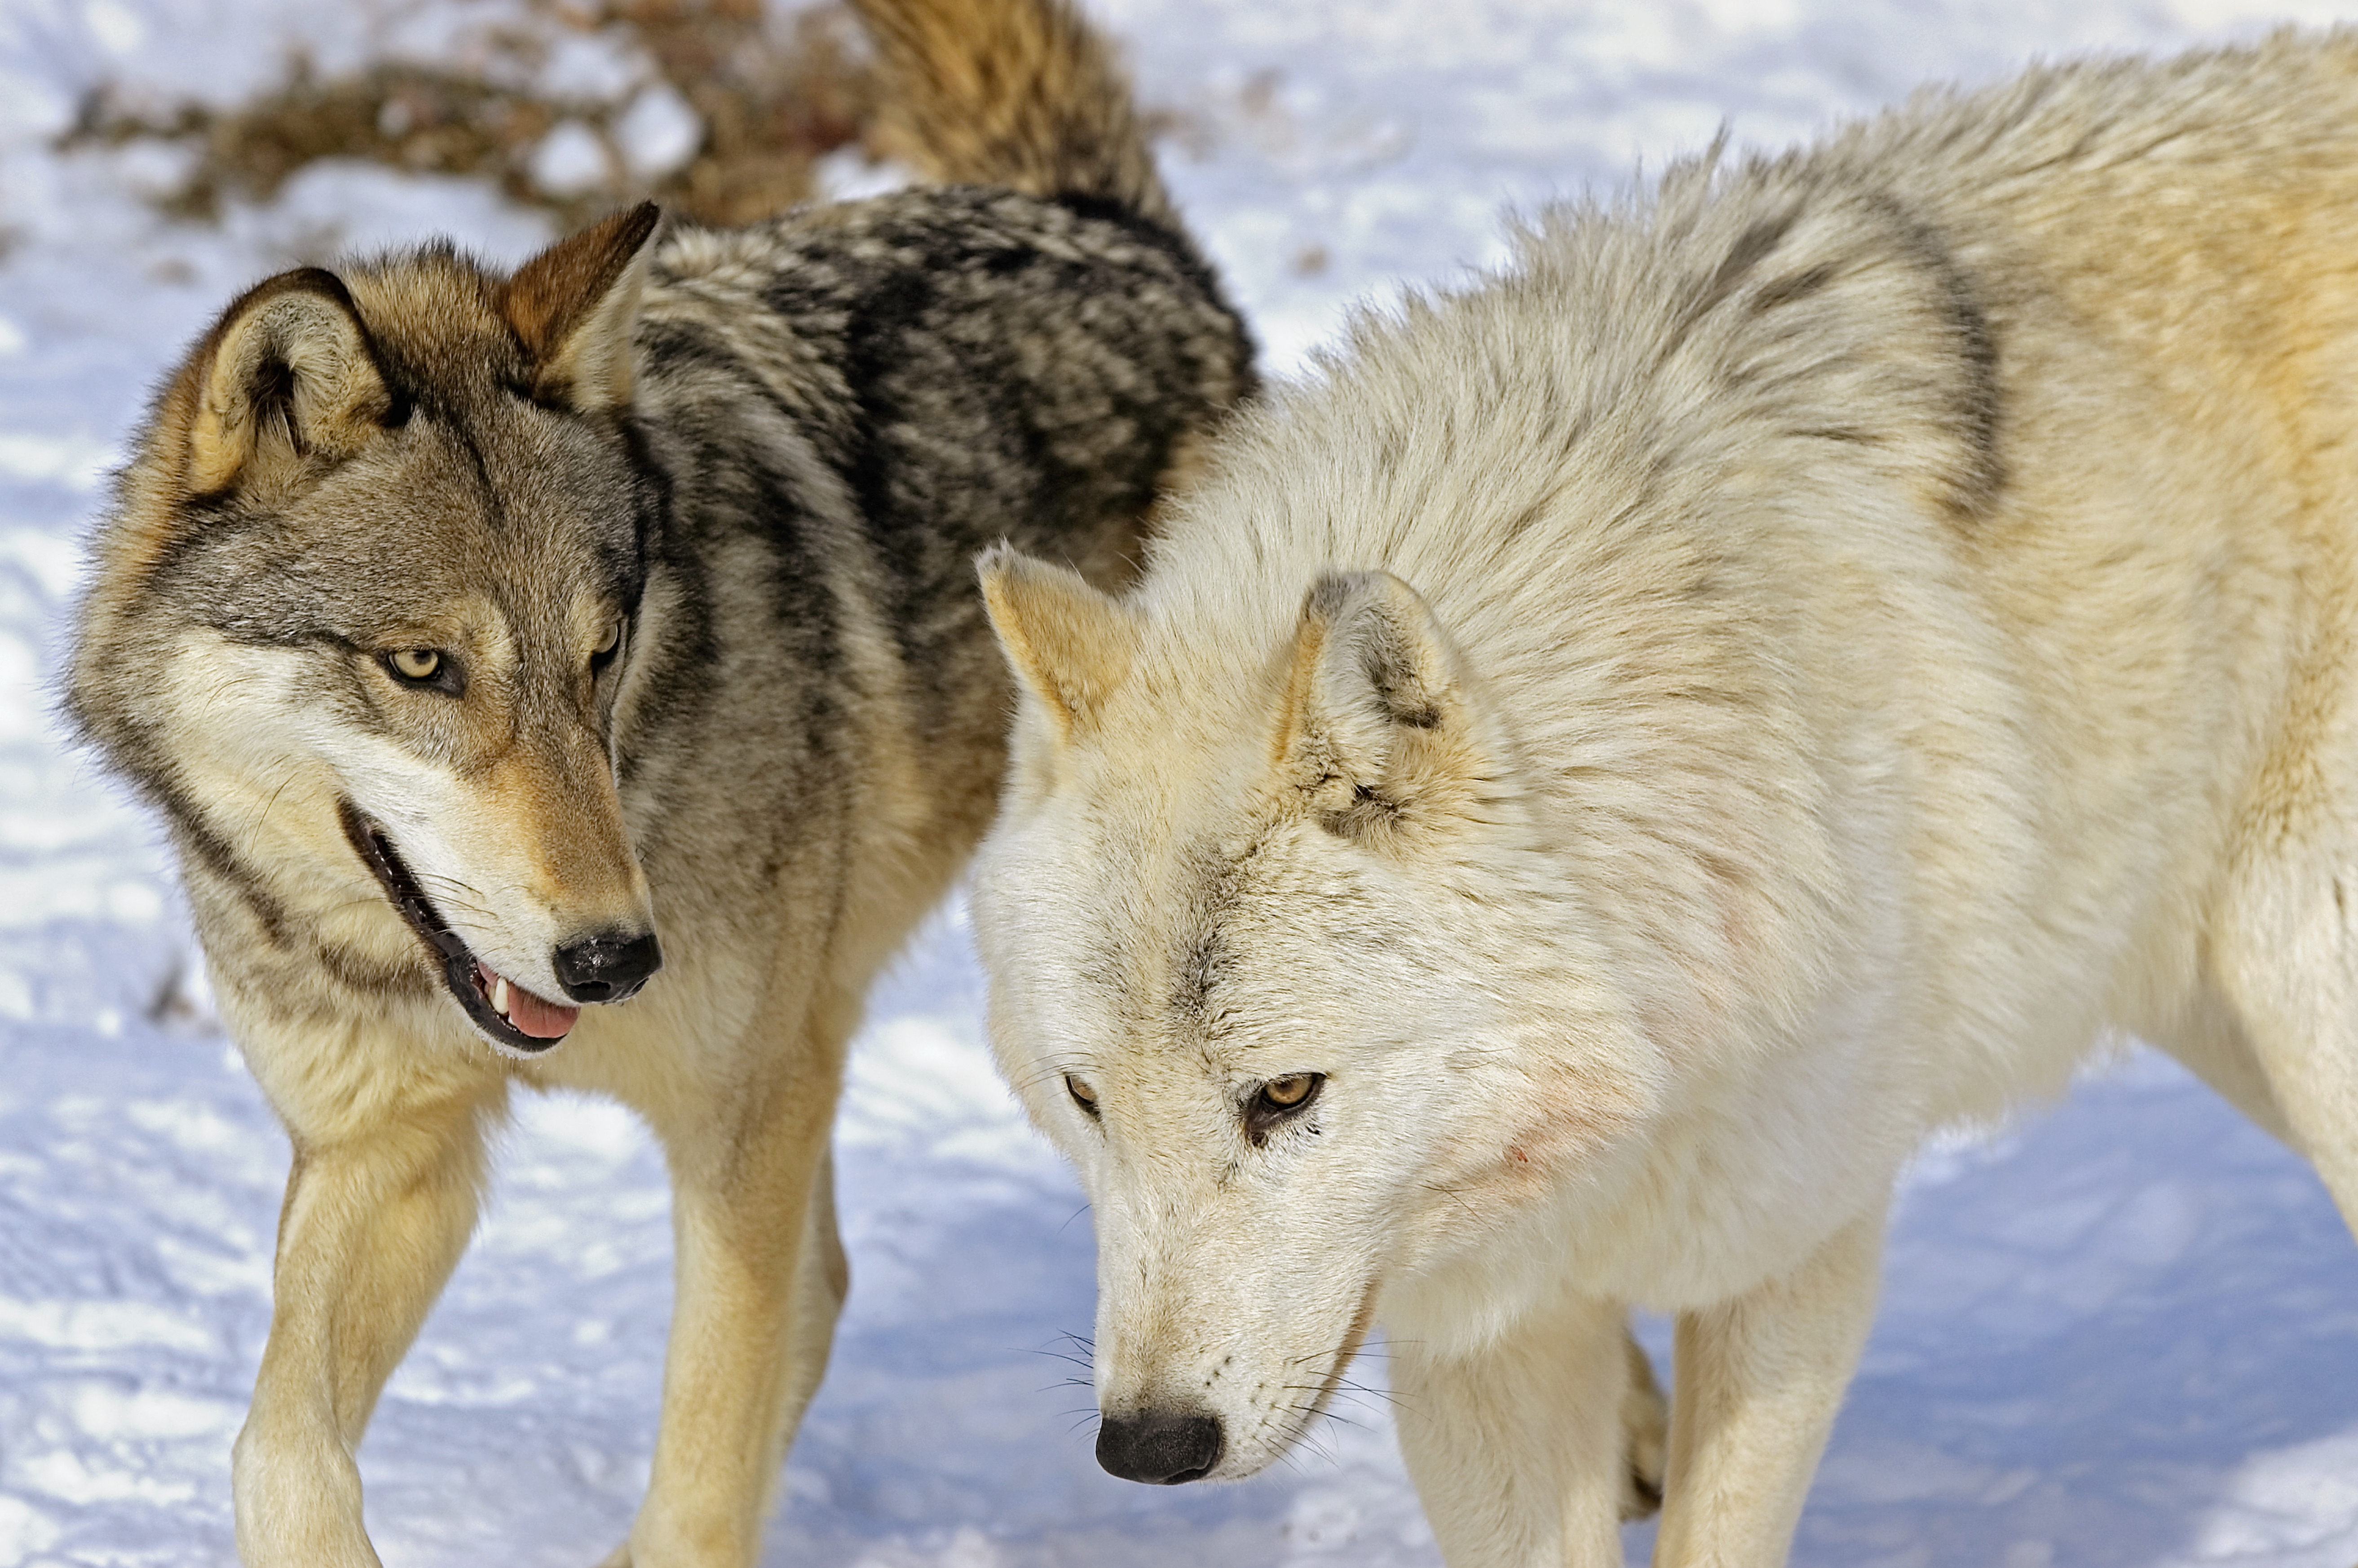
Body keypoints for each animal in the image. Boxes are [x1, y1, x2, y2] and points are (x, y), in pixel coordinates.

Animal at [64, 0, 1254, 1556]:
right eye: (424, 666)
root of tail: (1116, 231)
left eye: (603, 651)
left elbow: (703, 1469)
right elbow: (275, 1447)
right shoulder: (389, 1149)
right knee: (829, 1282)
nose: (617, 957)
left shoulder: (737, 1124)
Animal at [957, 24, 2358, 1565]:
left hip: (2305, 999)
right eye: (1084, 1095)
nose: (1147, 1445)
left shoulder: (1793, 1249)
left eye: (1284, 1092)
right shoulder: (1486, 1335)